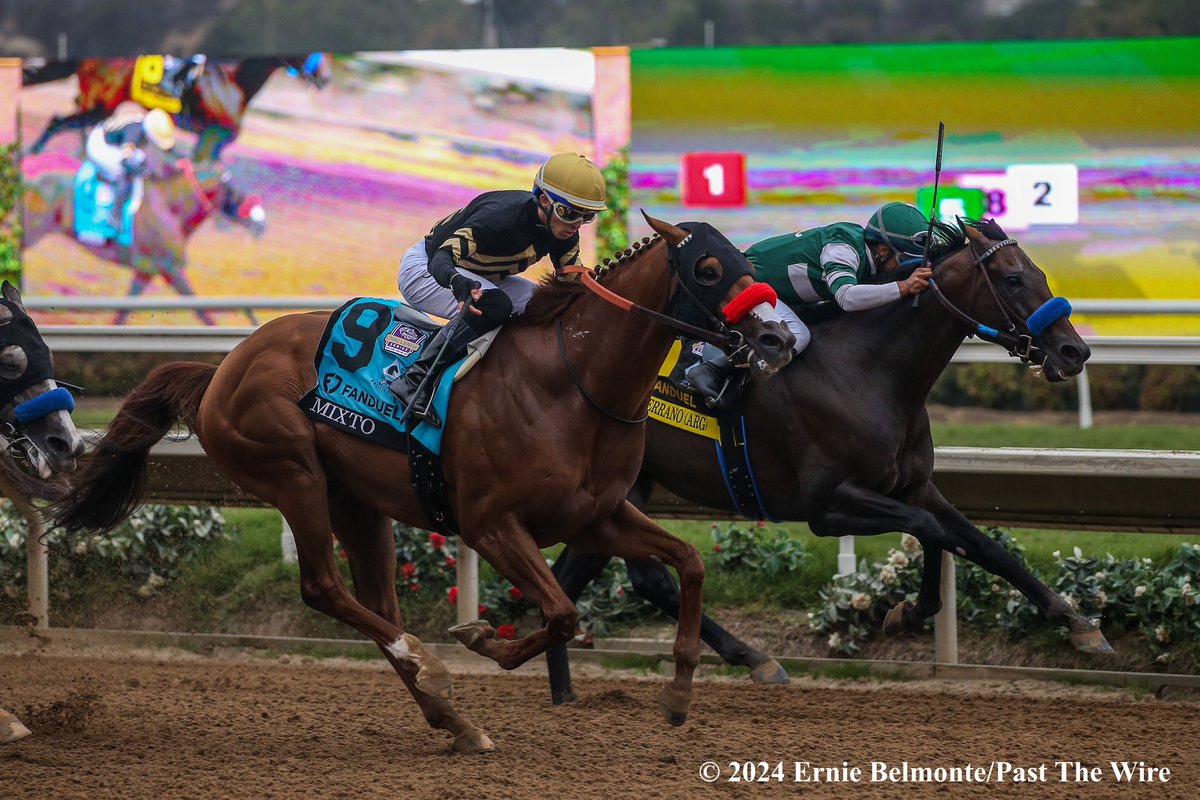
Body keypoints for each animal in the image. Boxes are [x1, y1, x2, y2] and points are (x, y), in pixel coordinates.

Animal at [21, 154, 266, 325]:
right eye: (234, 191)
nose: (260, 221)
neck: (170, 208)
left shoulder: (145, 271)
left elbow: (122, 314)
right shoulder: (171, 269)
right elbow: (203, 312)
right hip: (30, 231)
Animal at [25, 55, 331, 161]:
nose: (326, 78)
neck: (234, 78)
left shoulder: (213, 142)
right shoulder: (210, 137)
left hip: (97, 104)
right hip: (101, 105)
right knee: (59, 120)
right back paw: (34, 152)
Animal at [46, 215, 795, 752]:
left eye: (746, 261)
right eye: (707, 268)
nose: (778, 338)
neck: (572, 383)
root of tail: (221, 369)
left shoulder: (597, 514)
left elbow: (689, 563)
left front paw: (680, 691)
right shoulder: (490, 524)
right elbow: (560, 612)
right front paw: (480, 639)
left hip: (357, 503)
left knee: (376, 600)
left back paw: (454, 722)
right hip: (293, 473)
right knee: (325, 588)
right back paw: (431, 667)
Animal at [545, 217, 1109, 704]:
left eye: (1039, 273)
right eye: (1013, 278)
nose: (1074, 352)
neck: (870, 369)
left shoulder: (913, 486)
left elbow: (981, 545)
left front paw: (1077, 623)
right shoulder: (827, 505)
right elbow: (930, 529)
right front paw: (908, 613)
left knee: (580, 575)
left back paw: (561, 683)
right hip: (625, 487)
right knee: (645, 579)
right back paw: (756, 659)